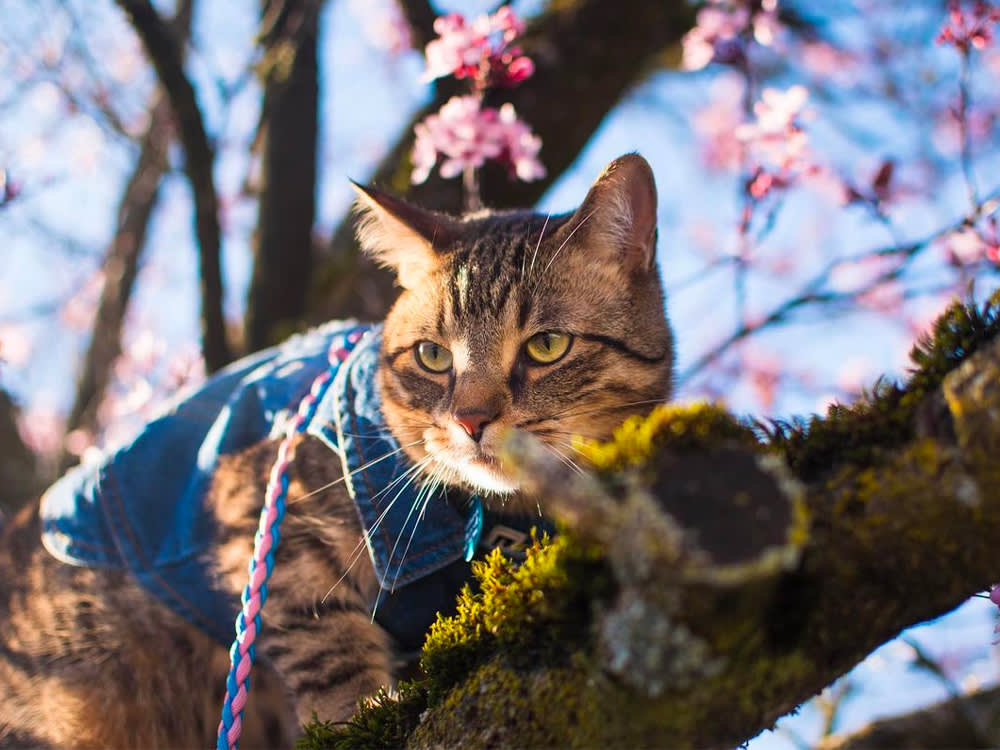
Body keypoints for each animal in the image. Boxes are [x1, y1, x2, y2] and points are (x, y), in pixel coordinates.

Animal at [0, 154, 676, 750]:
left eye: (547, 346)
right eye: (433, 356)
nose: (471, 419)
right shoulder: (260, 515)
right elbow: (324, 640)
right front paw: (361, 710)